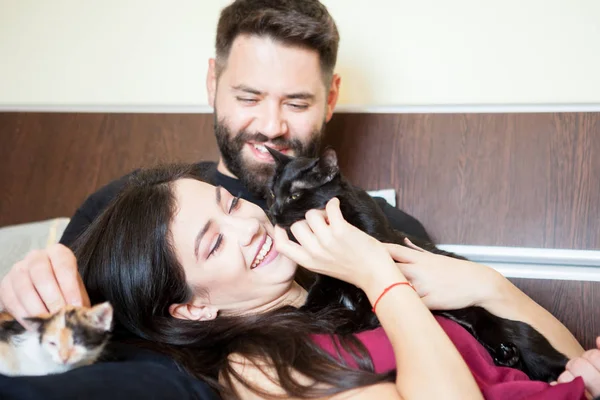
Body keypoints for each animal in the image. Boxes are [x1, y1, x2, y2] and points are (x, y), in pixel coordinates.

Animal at [264, 146, 568, 382]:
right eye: (272, 194)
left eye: (294, 195)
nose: (273, 212)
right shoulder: (328, 280)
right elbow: (315, 299)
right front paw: (298, 314)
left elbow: (369, 303)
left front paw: (352, 323)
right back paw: (507, 356)